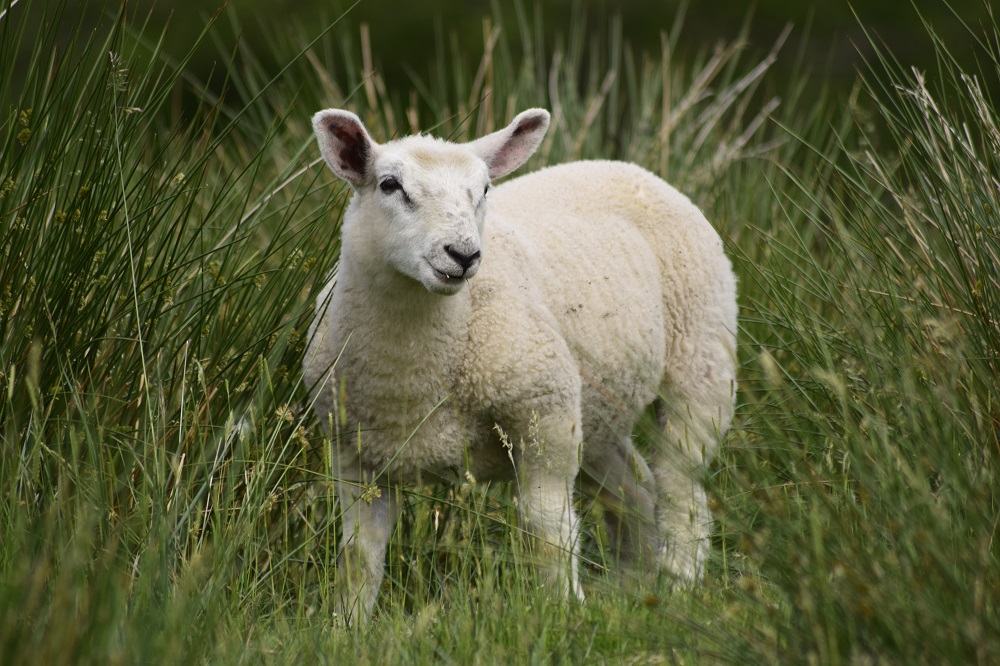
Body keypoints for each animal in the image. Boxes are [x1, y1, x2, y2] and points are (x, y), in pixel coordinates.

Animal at [302, 106, 736, 624]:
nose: (463, 254)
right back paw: (632, 587)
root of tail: (629, 168)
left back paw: (679, 584)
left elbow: (548, 529)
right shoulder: (354, 451)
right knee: (635, 487)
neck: (413, 369)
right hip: (594, 406)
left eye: (485, 189)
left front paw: (564, 610)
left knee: (680, 486)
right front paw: (347, 626)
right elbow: (358, 554)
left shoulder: (543, 414)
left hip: (701, 360)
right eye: (389, 185)